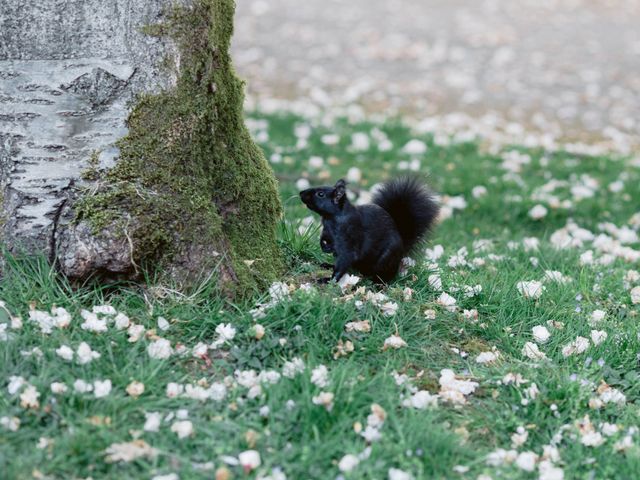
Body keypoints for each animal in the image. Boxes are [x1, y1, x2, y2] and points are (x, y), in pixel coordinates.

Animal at [300, 175, 440, 282]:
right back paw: (328, 264)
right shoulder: (327, 231)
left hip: (385, 260)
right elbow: (325, 238)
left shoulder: (349, 238)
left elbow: (345, 258)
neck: (330, 218)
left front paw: (330, 280)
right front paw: (324, 245)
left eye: (320, 194)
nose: (301, 193)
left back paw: (377, 283)